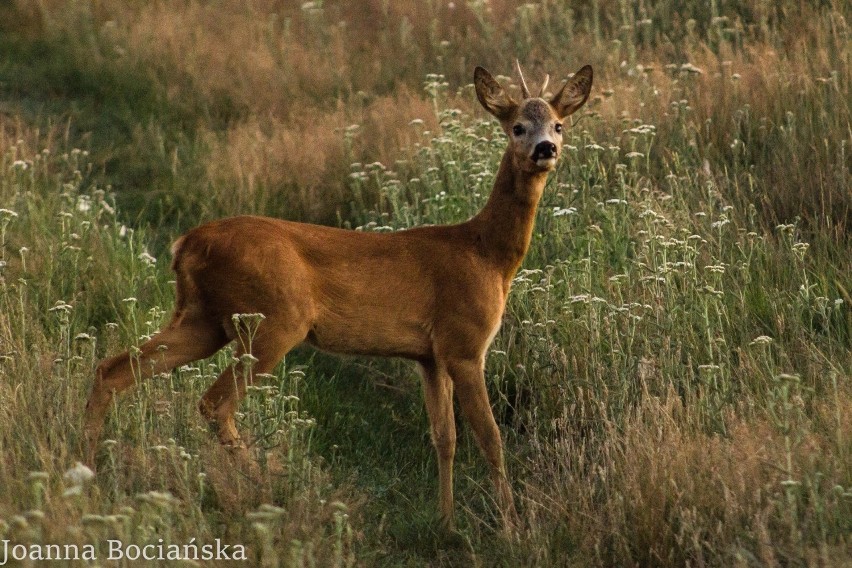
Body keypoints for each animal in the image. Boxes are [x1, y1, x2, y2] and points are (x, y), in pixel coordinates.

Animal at [86, 64, 592, 532]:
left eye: (559, 125)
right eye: (518, 127)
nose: (545, 149)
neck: (486, 253)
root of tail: (186, 243)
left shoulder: (429, 355)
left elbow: (444, 437)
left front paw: (446, 522)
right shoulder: (465, 343)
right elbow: (489, 436)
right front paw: (510, 524)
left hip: (202, 319)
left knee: (114, 368)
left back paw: (90, 469)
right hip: (274, 318)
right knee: (214, 403)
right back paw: (269, 487)